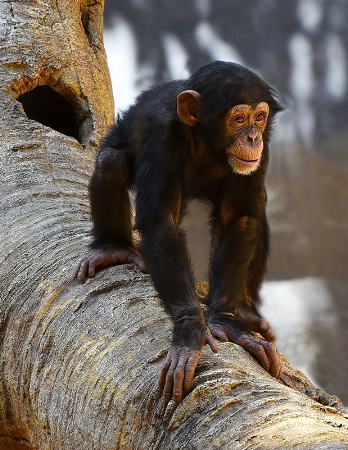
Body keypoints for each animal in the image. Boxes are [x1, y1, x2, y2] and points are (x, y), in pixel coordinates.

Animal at [75, 60, 282, 404]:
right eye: (238, 119)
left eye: (260, 117)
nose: (253, 137)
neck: (206, 142)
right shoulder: (162, 134)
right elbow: (161, 221)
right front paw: (189, 330)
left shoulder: (262, 153)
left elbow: (237, 217)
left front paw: (227, 321)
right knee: (111, 162)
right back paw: (112, 248)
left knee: (256, 210)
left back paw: (244, 308)